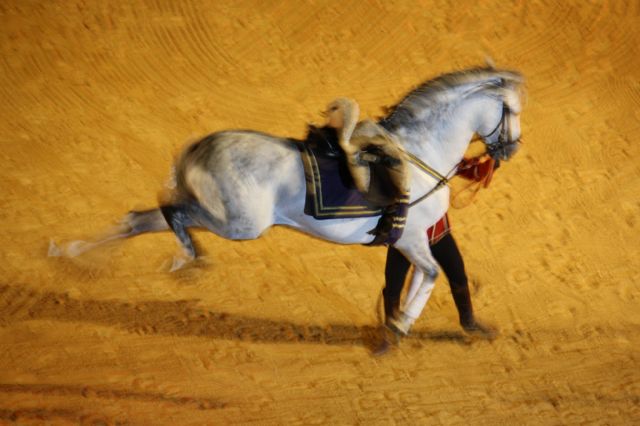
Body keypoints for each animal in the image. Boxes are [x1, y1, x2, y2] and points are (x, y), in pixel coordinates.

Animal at [53, 67, 524, 337]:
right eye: (514, 111)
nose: (511, 149)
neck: (418, 151)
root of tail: (203, 145)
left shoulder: (411, 238)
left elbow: (418, 277)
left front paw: (399, 323)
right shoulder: (411, 239)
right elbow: (429, 275)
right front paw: (401, 323)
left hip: (222, 217)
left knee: (139, 219)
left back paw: (71, 253)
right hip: (238, 223)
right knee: (173, 213)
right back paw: (187, 259)